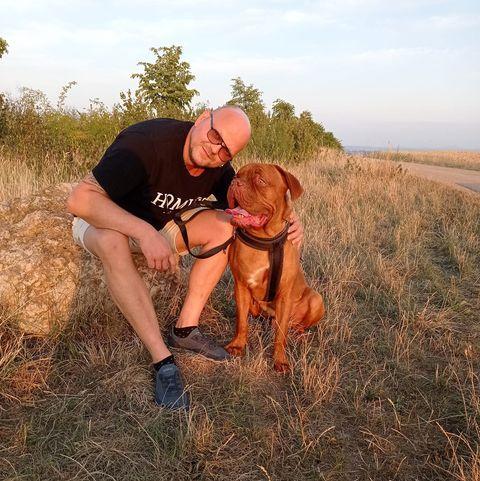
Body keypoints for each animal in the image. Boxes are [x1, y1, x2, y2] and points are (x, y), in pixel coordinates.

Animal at [225, 163, 325, 372]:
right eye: (238, 175)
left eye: (260, 180)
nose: (234, 183)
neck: (266, 240)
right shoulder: (241, 287)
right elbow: (242, 322)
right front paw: (238, 345)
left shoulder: (285, 296)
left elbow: (280, 334)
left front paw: (280, 360)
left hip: (316, 299)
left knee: (295, 325)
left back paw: (298, 333)